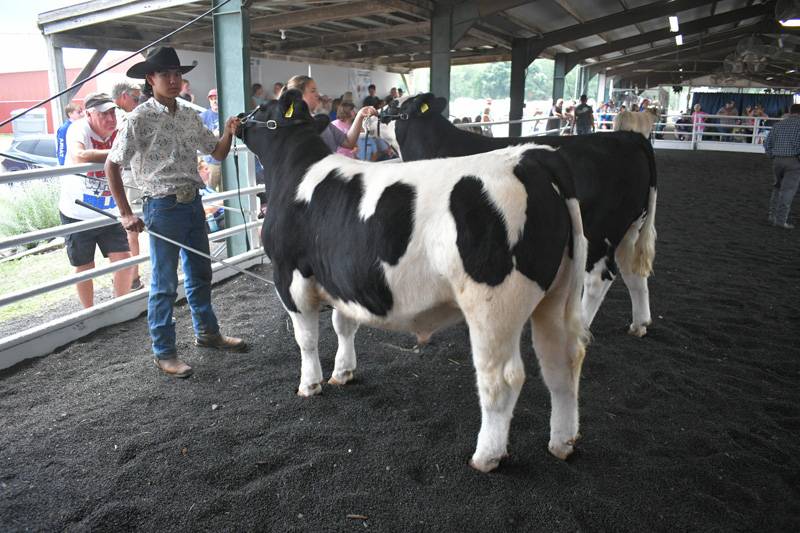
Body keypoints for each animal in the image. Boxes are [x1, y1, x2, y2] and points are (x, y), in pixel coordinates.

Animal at [241, 89, 592, 472]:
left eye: (262, 108)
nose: (239, 118)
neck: (296, 172)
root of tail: (533, 156)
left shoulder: (289, 274)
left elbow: (305, 339)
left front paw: (310, 384)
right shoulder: (342, 278)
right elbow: (343, 325)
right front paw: (343, 372)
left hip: (494, 307)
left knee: (502, 378)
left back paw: (486, 456)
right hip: (557, 295)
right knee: (562, 361)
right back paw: (563, 442)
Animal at [368, 94, 656, 336]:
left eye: (393, 106)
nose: (370, 114)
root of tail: (628, 137)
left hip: (599, 230)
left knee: (599, 278)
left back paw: (582, 327)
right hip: (630, 225)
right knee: (632, 270)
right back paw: (639, 324)